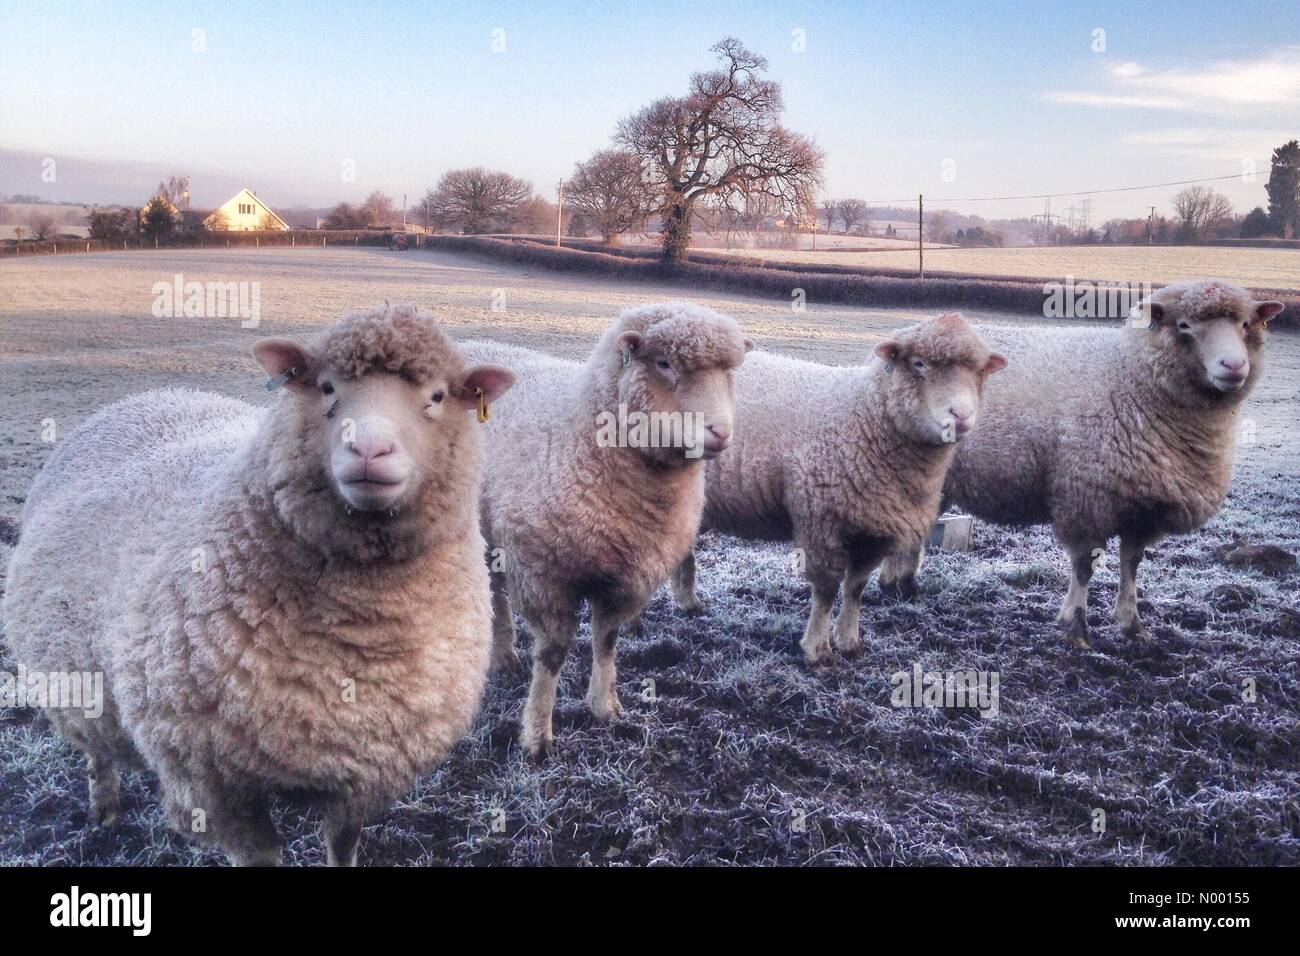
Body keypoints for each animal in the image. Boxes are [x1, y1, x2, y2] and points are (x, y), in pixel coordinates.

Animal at [0, 304, 517, 868]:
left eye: (438, 396)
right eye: (326, 387)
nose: (368, 447)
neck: (363, 625)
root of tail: (144, 398)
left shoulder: (361, 769)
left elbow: (343, 844)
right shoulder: (215, 784)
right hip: (77, 681)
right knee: (97, 752)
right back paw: (103, 814)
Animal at [460, 303, 754, 759]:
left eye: (729, 373)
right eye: (664, 364)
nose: (720, 432)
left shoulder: (626, 577)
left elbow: (607, 640)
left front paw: (605, 707)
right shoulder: (545, 573)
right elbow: (552, 655)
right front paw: (537, 736)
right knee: (495, 594)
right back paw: (504, 653)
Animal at [665, 312, 1008, 665]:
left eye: (979, 371)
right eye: (919, 363)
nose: (961, 415)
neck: (869, 416)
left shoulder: (873, 530)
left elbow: (856, 589)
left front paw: (849, 643)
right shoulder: (823, 523)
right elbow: (827, 592)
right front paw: (817, 652)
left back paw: (688, 602)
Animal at [878, 278, 1284, 650]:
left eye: (1245, 324)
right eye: (1184, 326)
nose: (1234, 365)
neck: (1131, 377)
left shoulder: (1142, 507)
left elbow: (1132, 564)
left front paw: (1133, 626)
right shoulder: (1086, 498)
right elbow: (1085, 566)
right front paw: (1075, 627)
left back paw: (900, 585)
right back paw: (895, 585)